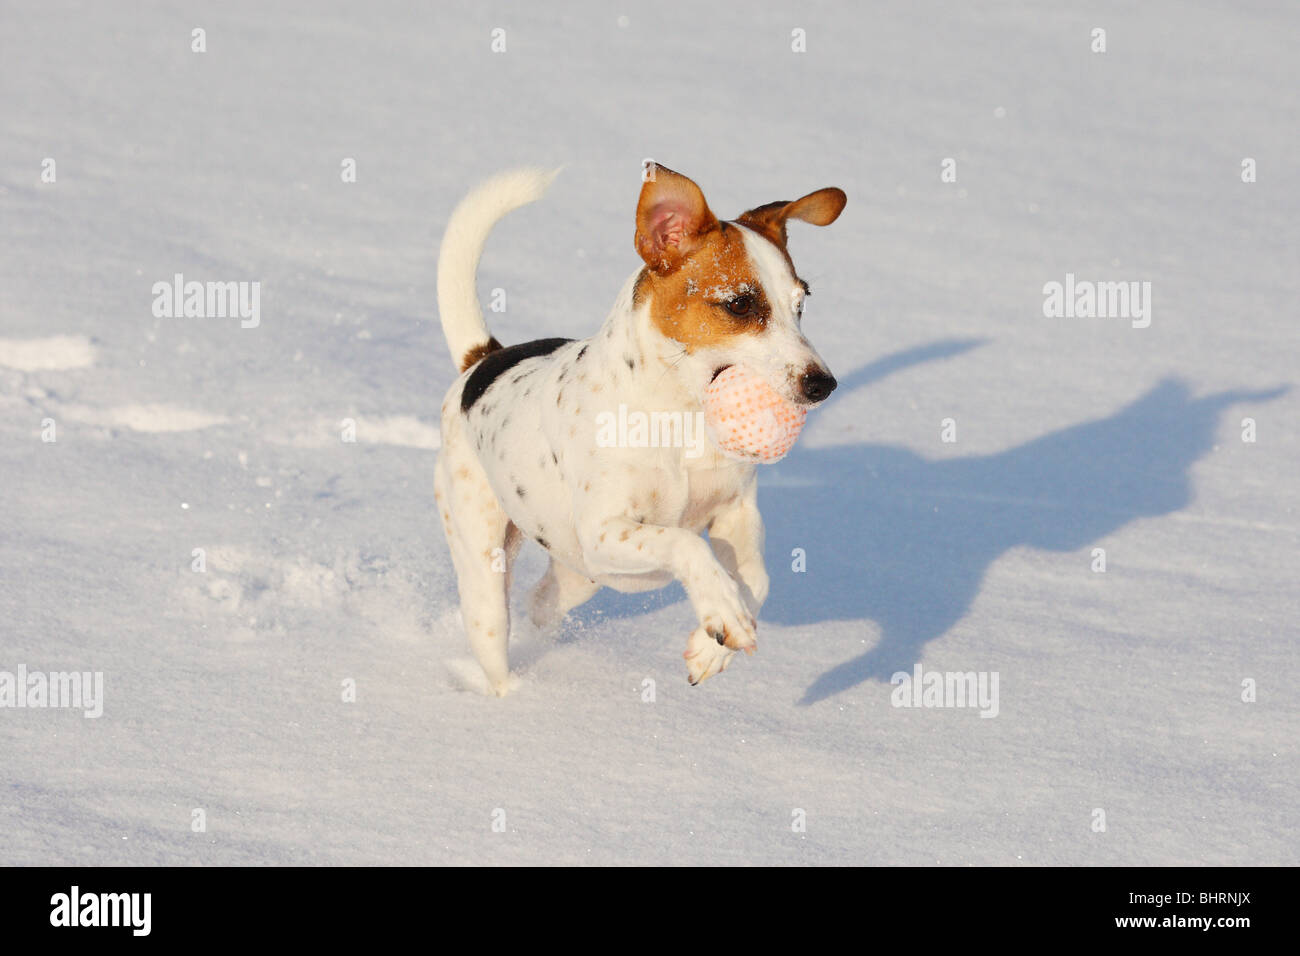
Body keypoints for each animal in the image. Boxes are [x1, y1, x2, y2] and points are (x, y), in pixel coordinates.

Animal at [431, 162, 847, 697]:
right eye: (739, 304)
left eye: (802, 303)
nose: (823, 384)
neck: (681, 416)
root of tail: (481, 362)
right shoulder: (606, 531)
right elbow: (685, 543)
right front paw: (723, 610)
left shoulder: (734, 514)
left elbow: (757, 579)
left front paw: (713, 647)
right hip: (485, 563)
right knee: (495, 635)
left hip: (580, 574)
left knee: (541, 602)